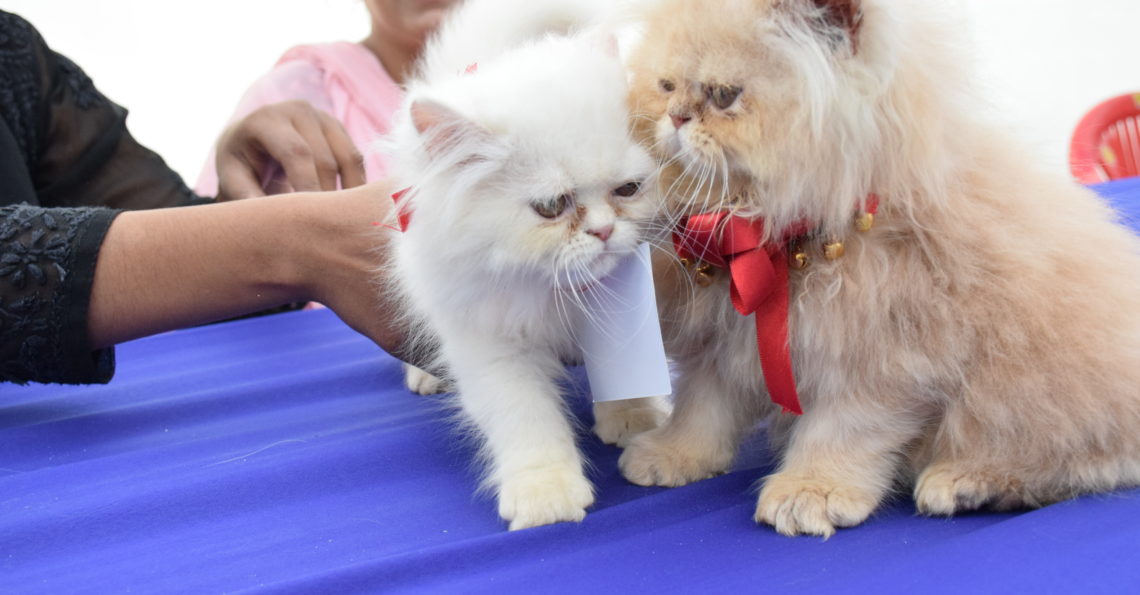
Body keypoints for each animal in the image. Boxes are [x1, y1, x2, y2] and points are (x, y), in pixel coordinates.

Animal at [384, 0, 668, 530]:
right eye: (552, 207)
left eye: (628, 190)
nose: (603, 231)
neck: (553, 290)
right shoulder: (492, 343)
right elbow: (525, 418)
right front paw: (546, 497)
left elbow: (627, 379)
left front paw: (634, 418)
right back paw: (426, 375)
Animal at [618, 0, 1140, 537]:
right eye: (666, 86)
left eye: (724, 95)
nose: (676, 117)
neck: (775, 240)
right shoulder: (722, 341)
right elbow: (703, 410)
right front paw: (673, 454)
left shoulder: (881, 363)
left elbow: (839, 433)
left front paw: (810, 491)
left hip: (1028, 390)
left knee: (1086, 460)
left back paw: (967, 481)